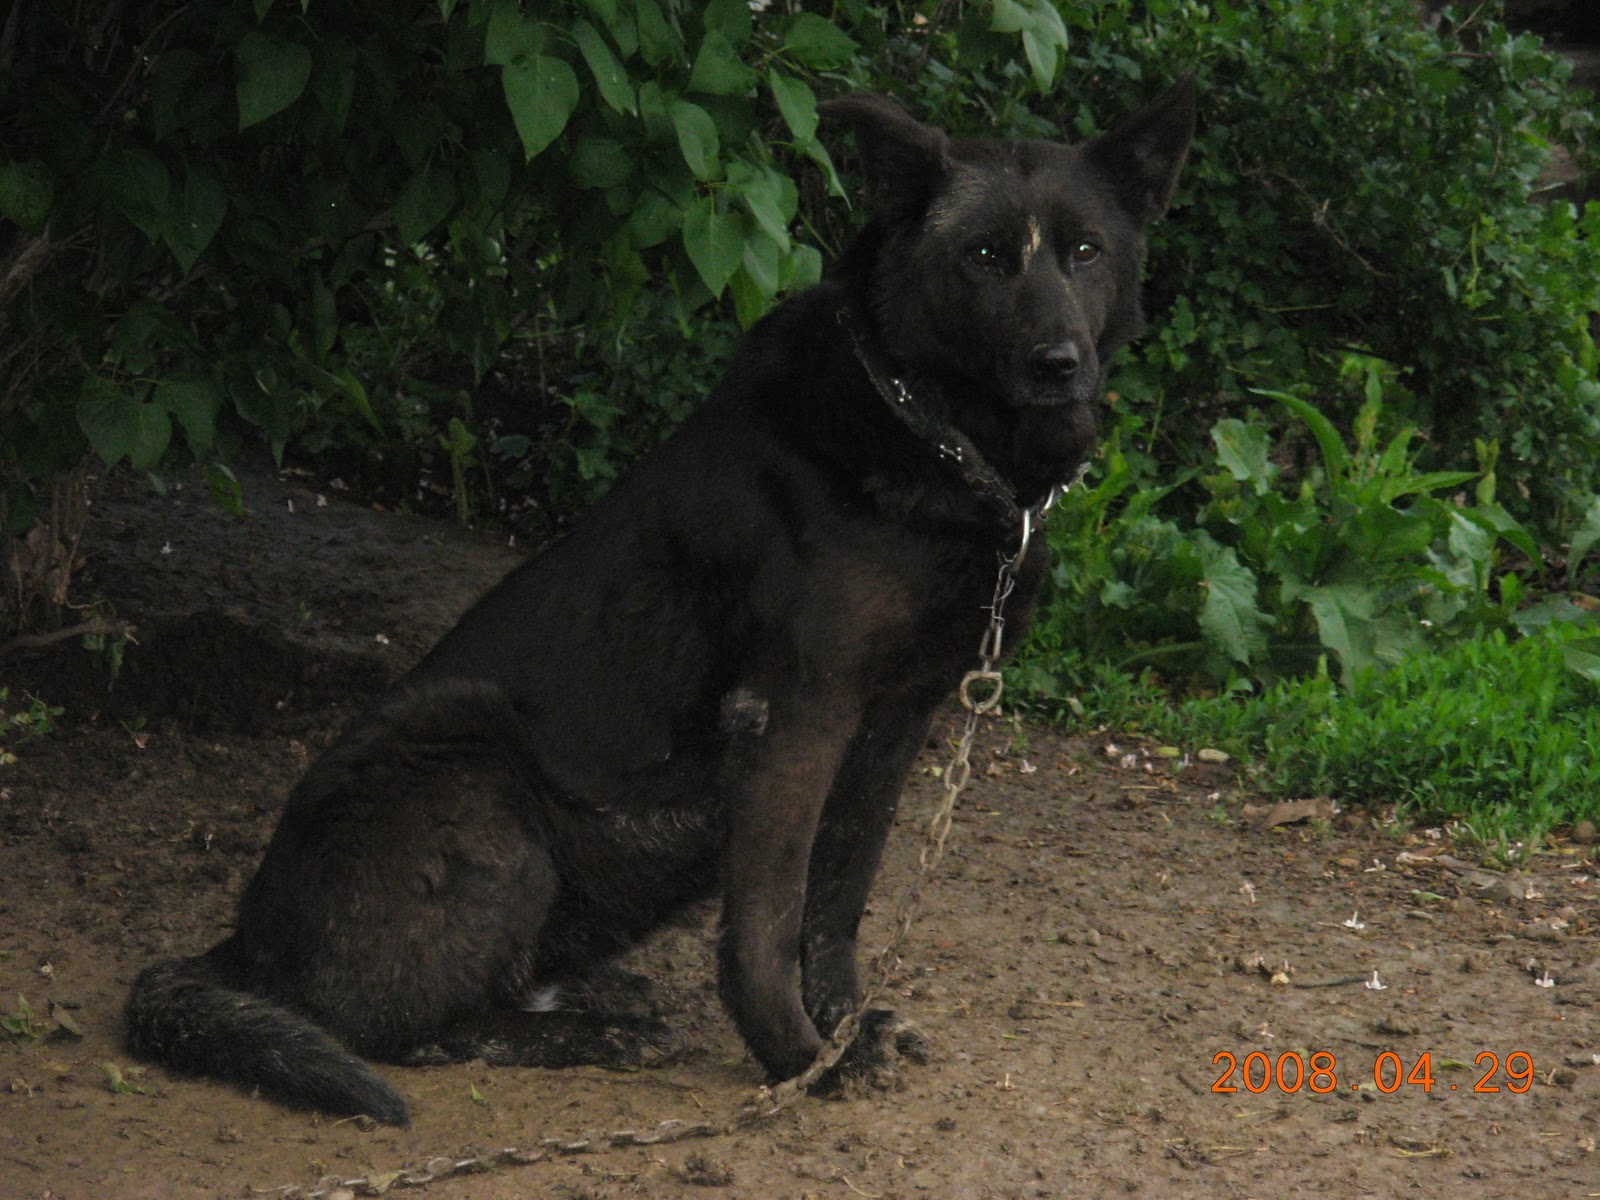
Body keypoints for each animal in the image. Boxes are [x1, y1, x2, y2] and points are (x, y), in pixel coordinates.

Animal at [124, 80, 1194, 1126]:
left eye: (1085, 252)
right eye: (983, 258)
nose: (1061, 364)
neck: (929, 432)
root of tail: (244, 942)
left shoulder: (896, 724)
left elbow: (837, 905)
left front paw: (843, 1031)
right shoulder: (798, 716)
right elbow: (767, 924)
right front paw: (798, 1062)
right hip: (476, 772)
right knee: (397, 1029)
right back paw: (577, 1036)